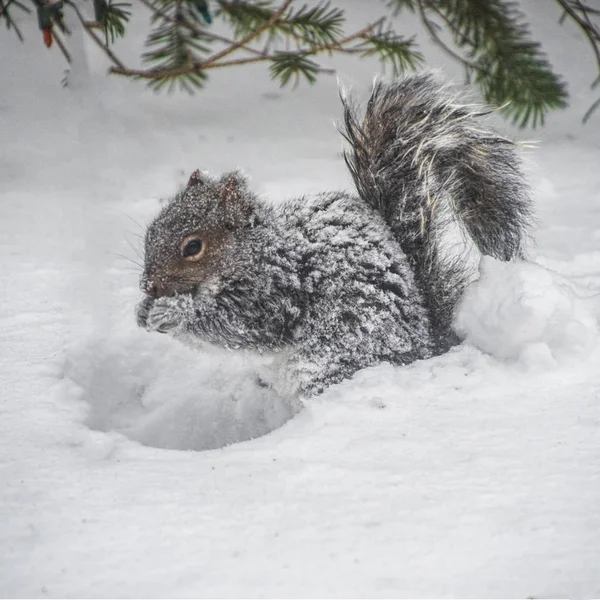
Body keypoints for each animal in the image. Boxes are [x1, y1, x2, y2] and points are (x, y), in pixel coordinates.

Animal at [136, 72, 528, 396]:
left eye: (193, 246)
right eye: (151, 229)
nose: (148, 285)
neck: (257, 252)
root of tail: (427, 343)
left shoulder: (276, 295)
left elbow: (237, 328)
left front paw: (170, 313)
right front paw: (143, 311)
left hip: (332, 356)